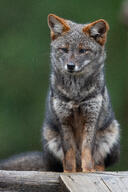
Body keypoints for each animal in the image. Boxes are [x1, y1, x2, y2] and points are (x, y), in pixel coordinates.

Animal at [0, 14, 120, 172]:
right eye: (64, 49)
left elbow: (87, 150)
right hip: (50, 137)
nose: (70, 66)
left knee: (101, 162)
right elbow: (69, 153)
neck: (75, 94)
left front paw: (88, 171)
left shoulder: (91, 118)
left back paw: (95, 169)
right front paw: (69, 172)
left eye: (83, 50)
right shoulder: (63, 121)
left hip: (111, 134)